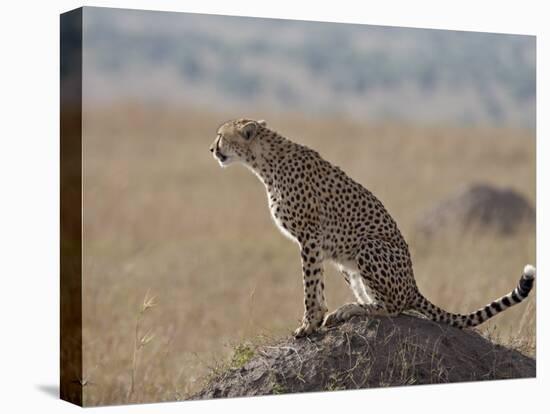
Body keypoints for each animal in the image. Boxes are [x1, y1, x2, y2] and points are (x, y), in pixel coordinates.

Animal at [209, 118, 536, 338]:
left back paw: (349, 309)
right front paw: (316, 320)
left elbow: (310, 286)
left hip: (368, 247)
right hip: (346, 261)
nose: (212, 149)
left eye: (221, 136)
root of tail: (413, 286)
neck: (264, 162)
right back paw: (349, 308)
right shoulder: (317, 244)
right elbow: (317, 286)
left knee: (393, 307)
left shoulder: (310, 237)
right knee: (383, 302)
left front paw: (308, 324)